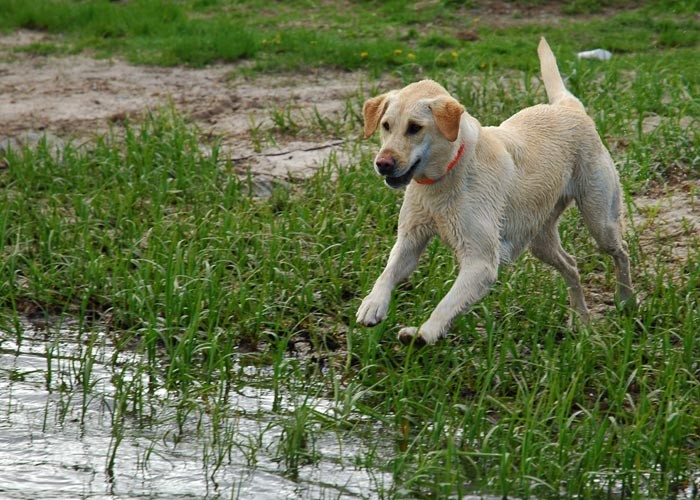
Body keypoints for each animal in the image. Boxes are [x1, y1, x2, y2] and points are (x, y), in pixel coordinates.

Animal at [356, 38, 636, 344]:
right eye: (386, 126)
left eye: (415, 128)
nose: (383, 163)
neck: (445, 177)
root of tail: (569, 107)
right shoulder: (410, 240)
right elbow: (388, 272)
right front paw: (373, 304)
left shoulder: (481, 261)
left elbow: (447, 304)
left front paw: (424, 333)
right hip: (539, 239)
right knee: (572, 265)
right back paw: (581, 321)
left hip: (600, 220)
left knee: (621, 252)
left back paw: (626, 301)